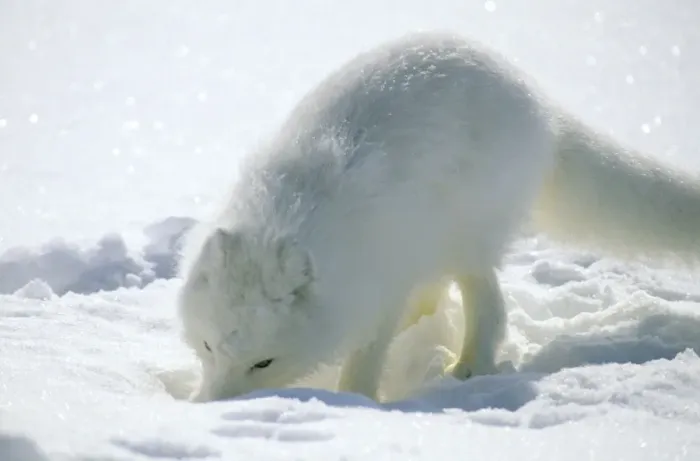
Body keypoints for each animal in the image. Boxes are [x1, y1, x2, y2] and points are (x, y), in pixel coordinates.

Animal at [176, 31, 700, 403]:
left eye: (263, 364)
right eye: (208, 347)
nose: (212, 407)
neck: (285, 215)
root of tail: (541, 105)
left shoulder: (379, 291)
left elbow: (366, 358)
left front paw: (355, 403)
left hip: (467, 235)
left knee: (486, 301)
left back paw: (468, 367)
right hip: (433, 238)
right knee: (435, 287)